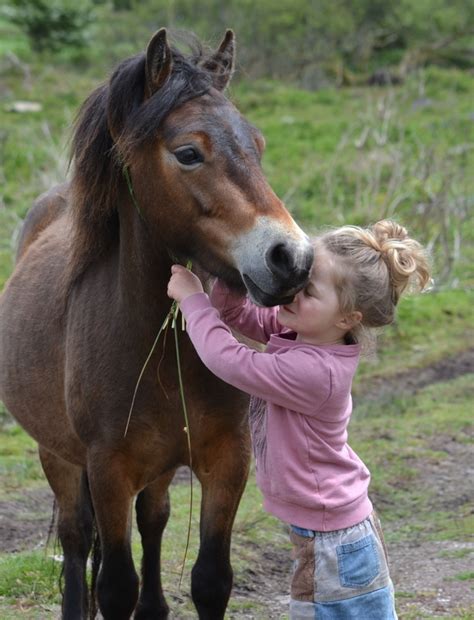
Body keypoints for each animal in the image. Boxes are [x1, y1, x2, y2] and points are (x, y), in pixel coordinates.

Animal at [0, 30, 312, 620]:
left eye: (257, 146)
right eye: (189, 153)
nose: (292, 260)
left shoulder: (226, 459)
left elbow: (210, 579)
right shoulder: (108, 469)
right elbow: (114, 586)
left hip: (161, 467)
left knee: (153, 519)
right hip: (59, 457)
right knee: (76, 540)